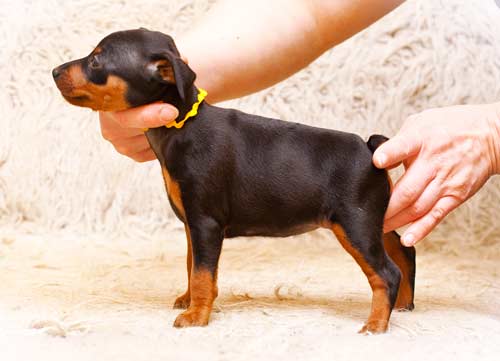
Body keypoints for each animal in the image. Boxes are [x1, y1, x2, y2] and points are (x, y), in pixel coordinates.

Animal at [52, 27, 416, 332]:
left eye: (96, 59)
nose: (54, 71)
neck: (181, 126)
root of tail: (368, 147)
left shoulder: (205, 223)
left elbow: (202, 273)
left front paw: (196, 317)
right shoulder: (193, 224)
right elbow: (192, 265)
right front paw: (189, 301)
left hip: (355, 224)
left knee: (386, 273)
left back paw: (376, 325)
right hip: (374, 219)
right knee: (403, 250)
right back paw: (403, 305)